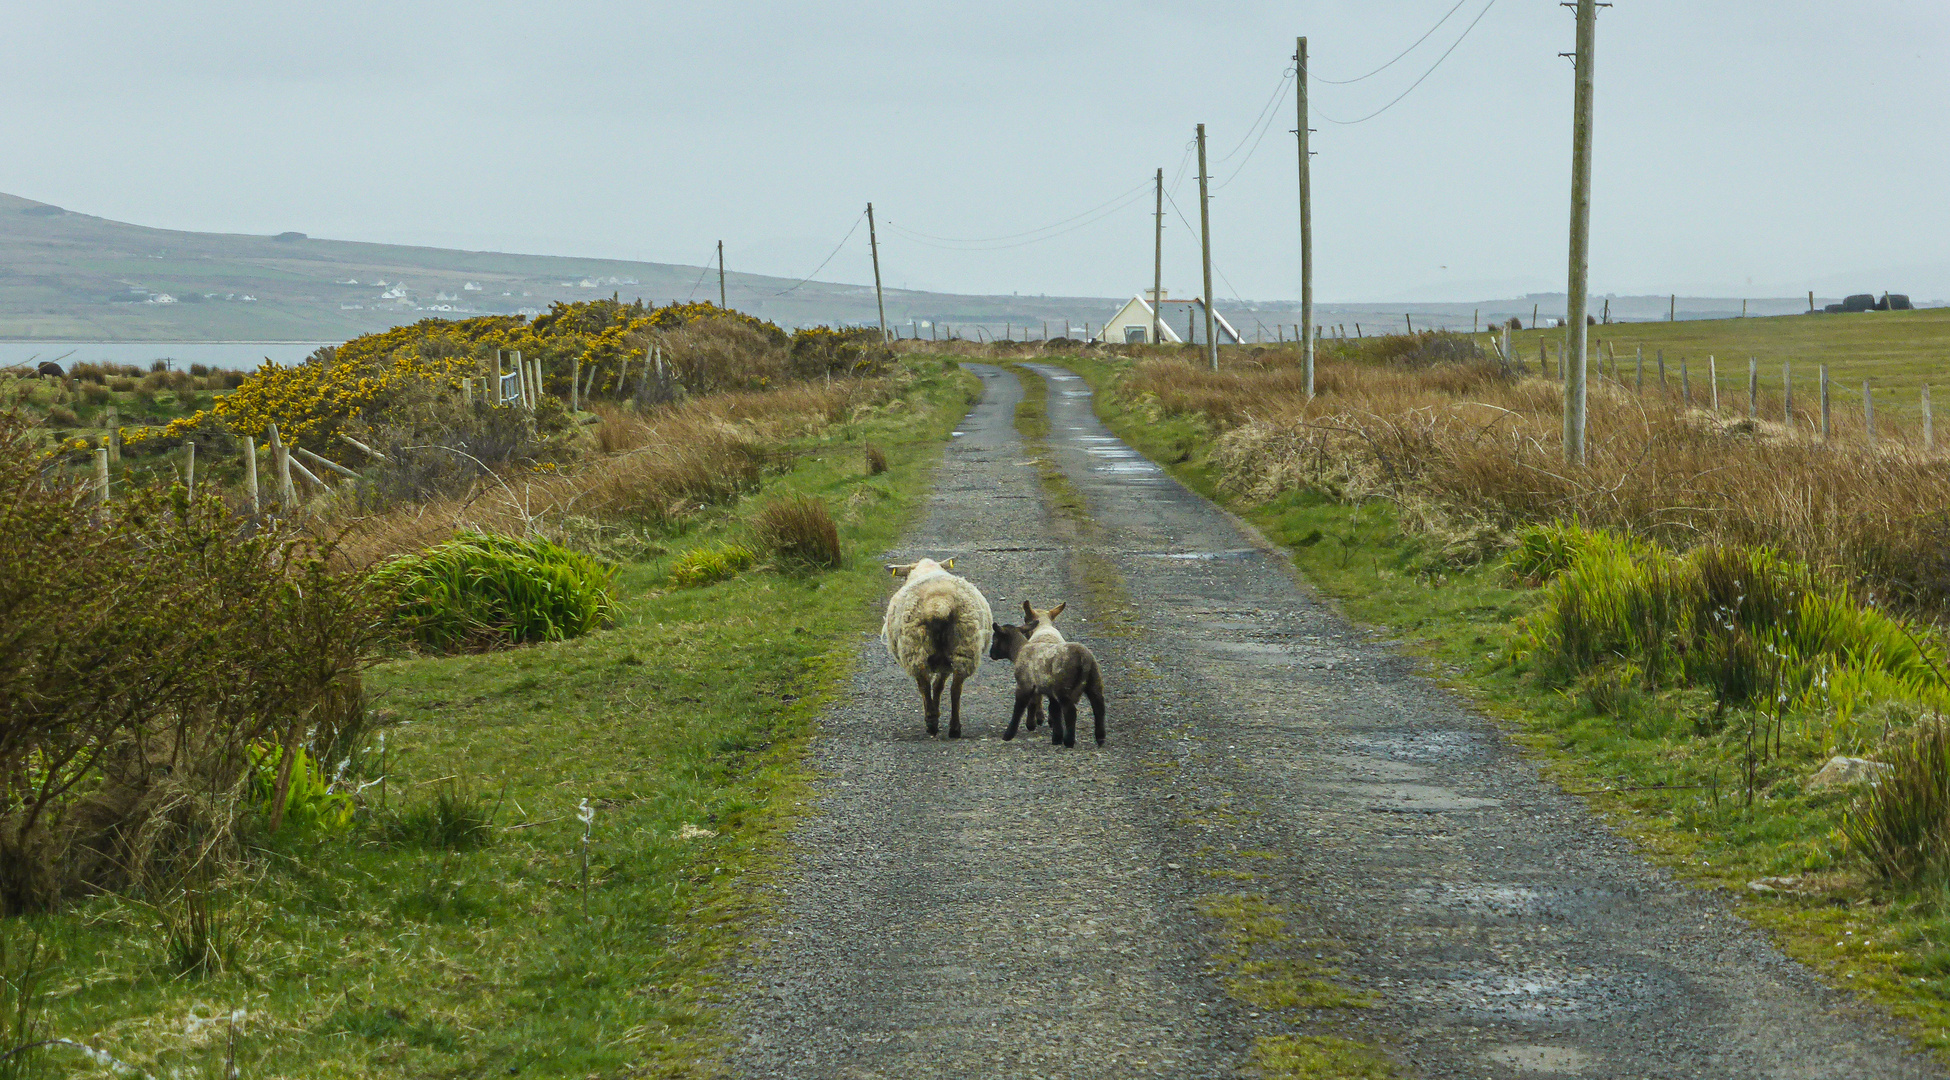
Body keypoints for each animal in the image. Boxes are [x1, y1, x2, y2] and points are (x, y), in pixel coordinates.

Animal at [889, 553, 998, 740]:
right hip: (963, 646)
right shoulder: (944, 663)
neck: (927, 569)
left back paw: (932, 722)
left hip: (915, 649)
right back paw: (954, 728)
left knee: (924, 685)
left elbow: (932, 687)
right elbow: (939, 686)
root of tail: (938, 604)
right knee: (956, 689)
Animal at [998, 596, 1107, 748]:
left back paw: (1067, 740)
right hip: (1094, 681)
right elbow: (1053, 708)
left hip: (1062, 686)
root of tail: (1084, 658)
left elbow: (1034, 702)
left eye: (1025, 618)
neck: (1044, 628)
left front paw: (1033, 722)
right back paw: (1099, 737)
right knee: (1098, 707)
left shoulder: (1031, 681)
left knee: (1068, 710)